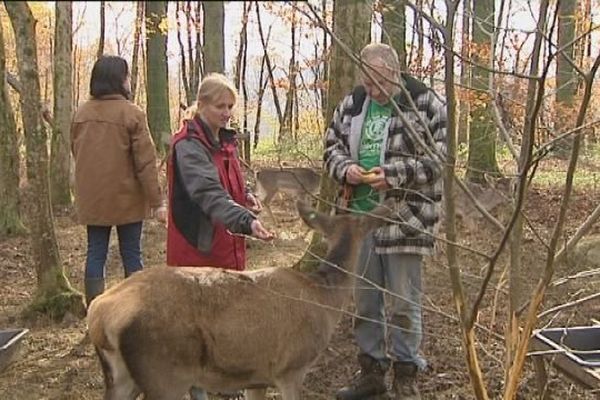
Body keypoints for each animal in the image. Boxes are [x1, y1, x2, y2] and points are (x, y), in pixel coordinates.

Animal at [85, 198, 394, 398]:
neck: (324, 297)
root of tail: (98, 314)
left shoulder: (256, 377)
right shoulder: (291, 367)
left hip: (119, 376)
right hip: (163, 371)